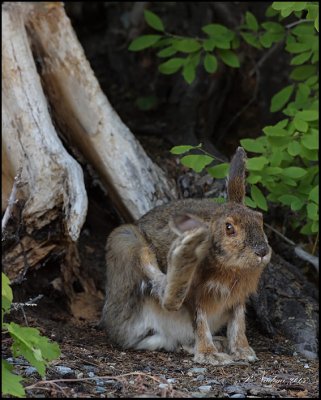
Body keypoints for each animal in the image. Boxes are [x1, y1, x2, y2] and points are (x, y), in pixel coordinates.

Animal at [99, 148, 270, 366]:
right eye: (229, 228)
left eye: (260, 219)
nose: (262, 251)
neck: (230, 267)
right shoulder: (196, 297)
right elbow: (200, 322)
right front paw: (210, 356)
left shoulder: (237, 299)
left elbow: (238, 323)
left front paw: (243, 351)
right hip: (126, 243)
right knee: (163, 294)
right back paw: (184, 254)